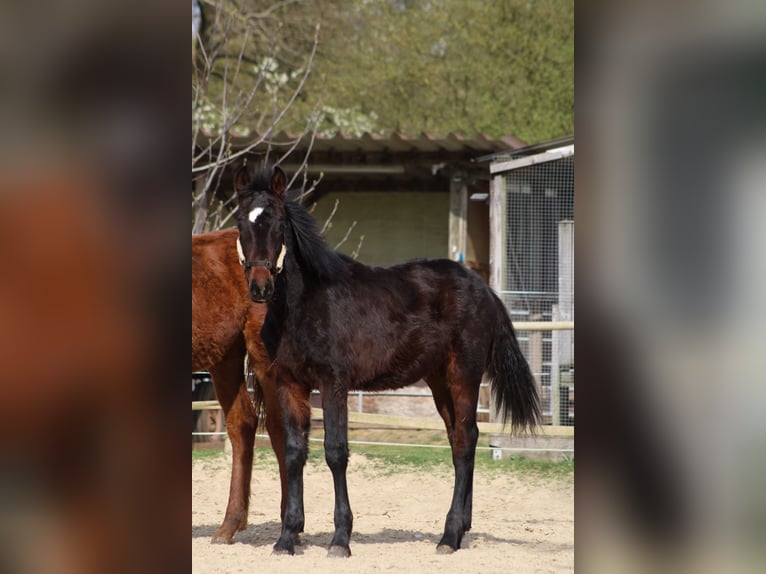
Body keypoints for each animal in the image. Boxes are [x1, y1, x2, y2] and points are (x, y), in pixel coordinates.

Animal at [233, 161, 542, 557]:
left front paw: (340, 539)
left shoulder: (334, 383)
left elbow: (335, 452)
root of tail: (484, 288)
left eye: (277, 222)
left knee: (465, 440)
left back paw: (449, 535)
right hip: (438, 379)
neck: (305, 304)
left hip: (464, 373)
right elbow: (293, 453)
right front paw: (287, 537)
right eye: (240, 221)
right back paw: (460, 530)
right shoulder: (290, 383)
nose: (260, 287)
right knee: (460, 437)